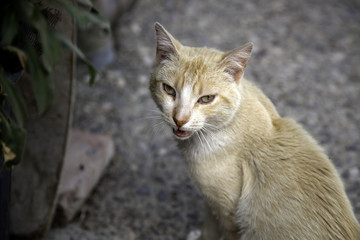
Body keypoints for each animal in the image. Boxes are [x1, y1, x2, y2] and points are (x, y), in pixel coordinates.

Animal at [149, 22, 360, 240]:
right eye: (169, 90)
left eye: (206, 99)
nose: (179, 119)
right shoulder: (212, 205)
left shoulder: (226, 212)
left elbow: (212, 231)